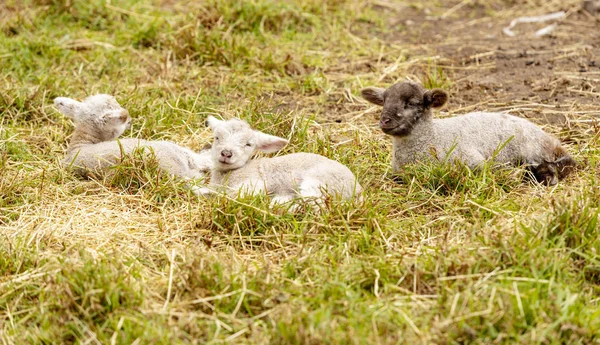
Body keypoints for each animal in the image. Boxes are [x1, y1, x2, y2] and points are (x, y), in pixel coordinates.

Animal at [203, 115, 360, 207]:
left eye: (248, 144)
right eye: (216, 137)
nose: (226, 153)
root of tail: (358, 193)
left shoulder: (252, 184)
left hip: (318, 184)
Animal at [360, 80, 576, 184]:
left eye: (411, 103)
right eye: (384, 101)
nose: (384, 121)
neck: (434, 137)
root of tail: (552, 140)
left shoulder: (473, 162)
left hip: (533, 149)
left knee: (562, 166)